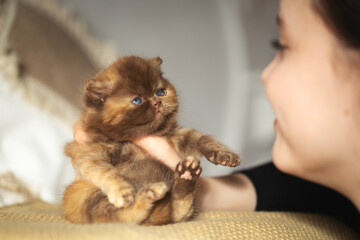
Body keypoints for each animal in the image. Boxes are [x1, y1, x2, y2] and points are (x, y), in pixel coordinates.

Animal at [63, 56, 240, 225]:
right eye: (137, 100)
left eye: (161, 92)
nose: (157, 102)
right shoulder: (87, 150)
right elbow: (105, 171)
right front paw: (122, 191)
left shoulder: (175, 134)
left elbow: (201, 138)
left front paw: (225, 154)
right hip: (83, 195)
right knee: (125, 218)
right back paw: (149, 193)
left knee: (177, 212)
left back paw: (186, 176)